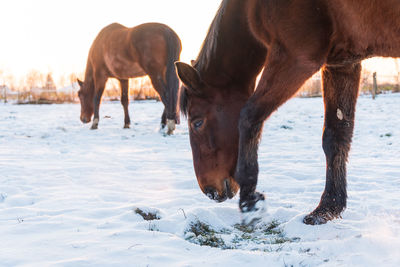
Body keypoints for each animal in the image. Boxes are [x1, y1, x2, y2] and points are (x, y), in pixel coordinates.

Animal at [176, 0, 400, 226]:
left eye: (197, 122)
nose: (210, 191)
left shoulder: (295, 58)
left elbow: (249, 116)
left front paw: (250, 201)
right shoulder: (342, 64)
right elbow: (336, 136)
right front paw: (328, 208)